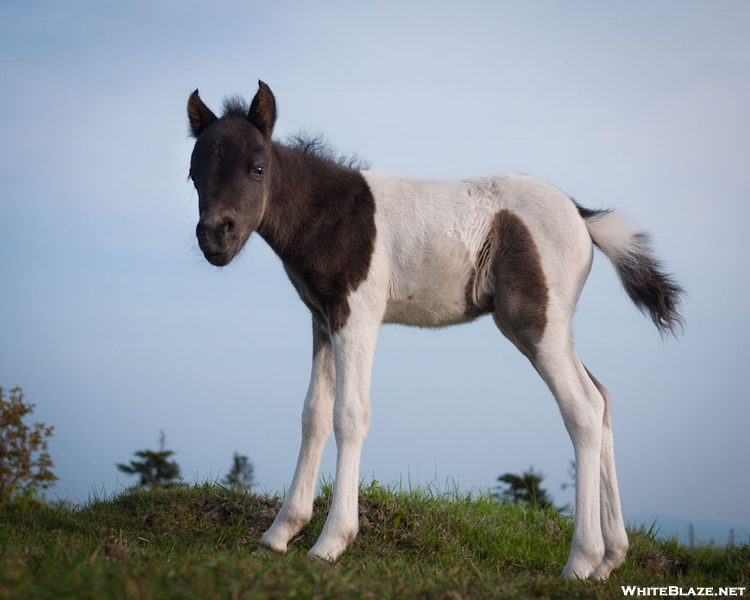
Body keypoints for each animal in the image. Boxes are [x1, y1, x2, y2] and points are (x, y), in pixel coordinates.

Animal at [185, 81, 684, 580]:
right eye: (193, 174)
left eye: (258, 168)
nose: (215, 235)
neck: (328, 214)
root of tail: (582, 215)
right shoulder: (323, 318)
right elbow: (314, 414)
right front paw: (279, 534)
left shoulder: (358, 313)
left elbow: (349, 414)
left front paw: (330, 543)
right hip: (550, 329)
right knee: (602, 398)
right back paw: (611, 558)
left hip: (535, 322)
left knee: (582, 408)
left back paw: (581, 561)